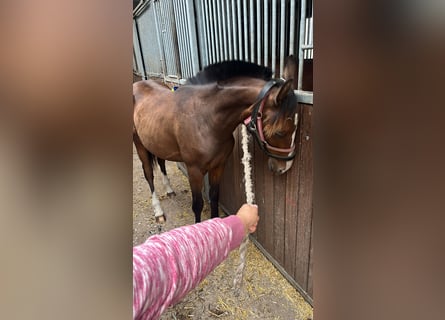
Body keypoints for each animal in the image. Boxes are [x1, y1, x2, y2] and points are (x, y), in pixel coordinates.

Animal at [132, 61, 298, 224]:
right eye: (280, 132)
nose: (285, 167)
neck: (206, 119)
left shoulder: (218, 166)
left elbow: (214, 197)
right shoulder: (194, 171)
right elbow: (198, 205)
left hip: (157, 144)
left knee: (161, 163)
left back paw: (169, 190)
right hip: (139, 145)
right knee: (148, 175)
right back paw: (158, 212)